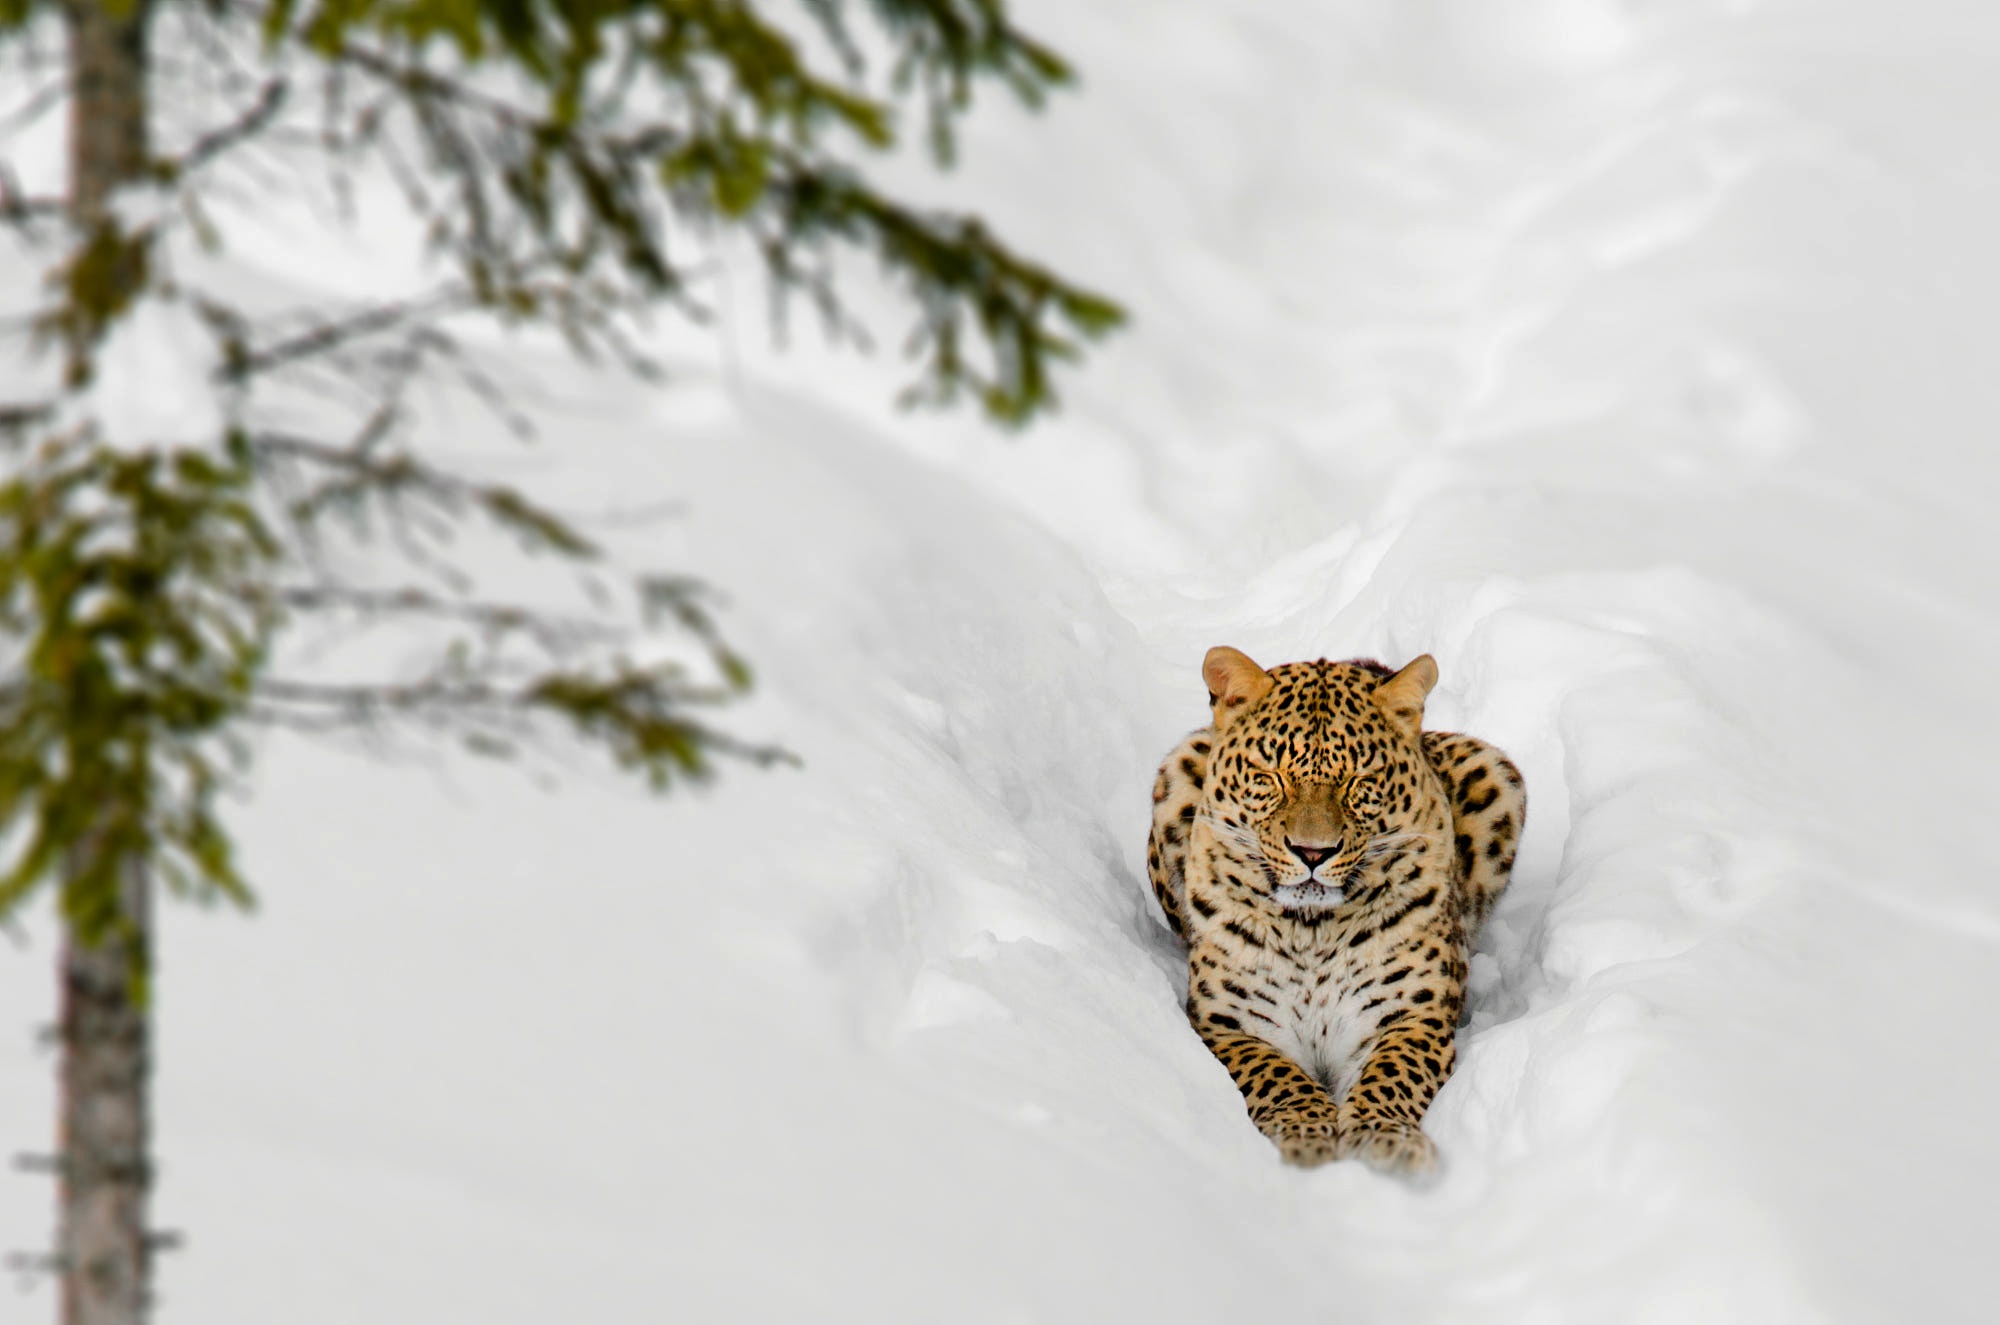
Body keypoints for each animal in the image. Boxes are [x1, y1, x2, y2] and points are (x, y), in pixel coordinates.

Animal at [1152, 648, 1520, 1176]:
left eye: (1358, 783)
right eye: (1271, 778)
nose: (1312, 852)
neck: (1312, 932)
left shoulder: (1411, 1017)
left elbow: (1393, 1074)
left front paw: (1385, 1138)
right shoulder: (1228, 1026)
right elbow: (1274, 1073)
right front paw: (1307, 1130)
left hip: (1493, 769)